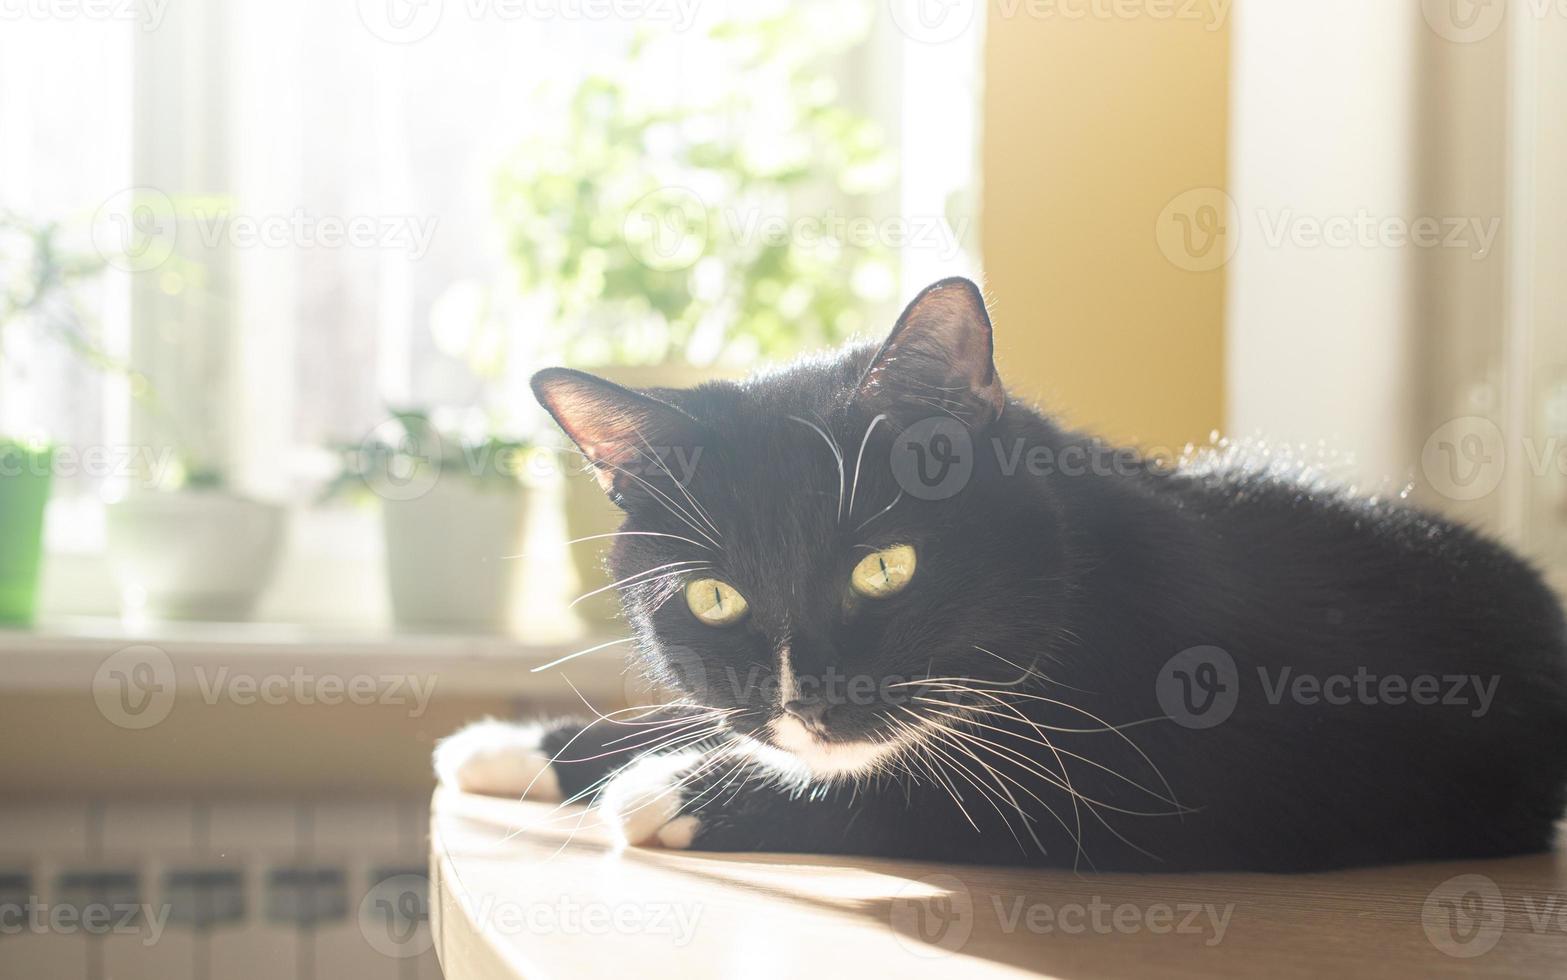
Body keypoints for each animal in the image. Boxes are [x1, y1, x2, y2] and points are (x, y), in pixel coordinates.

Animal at [435, 275, 1567, 871]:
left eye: (885, 567)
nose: (808, 705)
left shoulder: (1171, 771)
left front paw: (675, 786)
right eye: (715, 598)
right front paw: (522, 744)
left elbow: (953, 790)